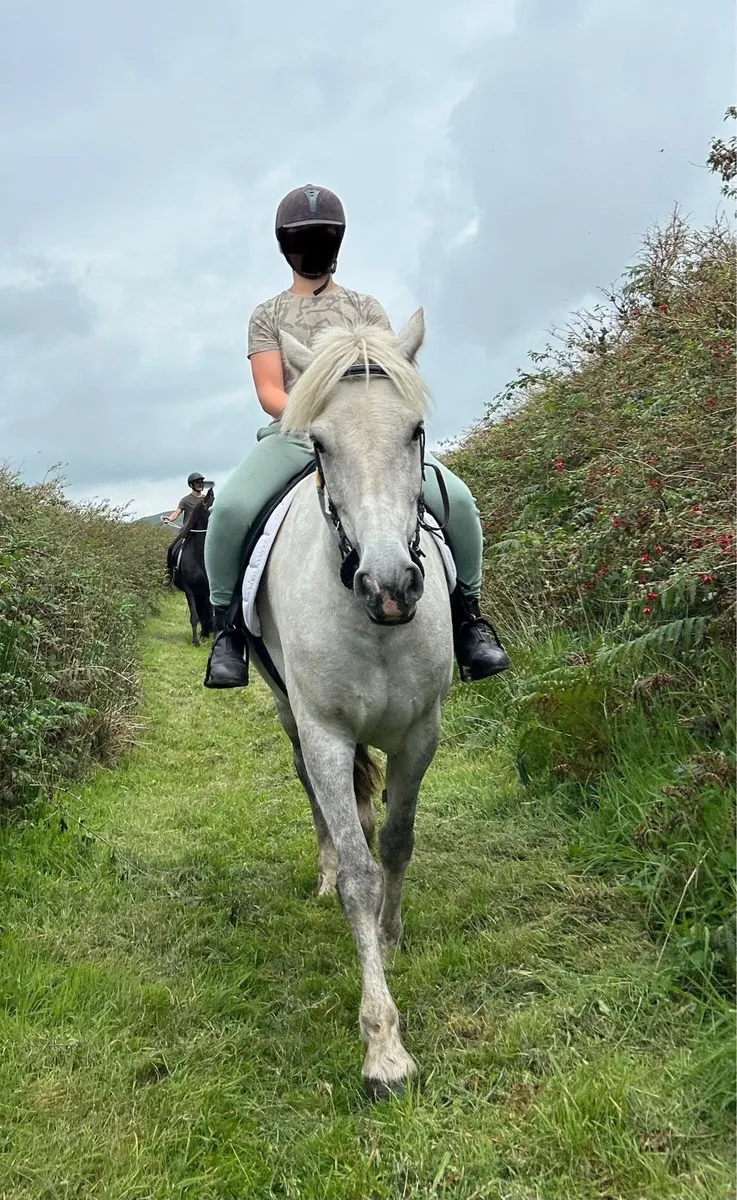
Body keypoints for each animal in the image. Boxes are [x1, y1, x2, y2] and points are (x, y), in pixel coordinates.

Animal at [168, 489, 215, 646]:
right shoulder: (189, 589)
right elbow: (195, 616)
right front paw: (196, 641)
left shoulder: (207, 589)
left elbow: (207, 613)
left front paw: (205, 635)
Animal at [251, 311, 453, 1098]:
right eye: (320, 443)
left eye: (415, 429)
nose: (390, 584)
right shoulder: (327, 735)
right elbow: (361, 877)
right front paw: (384, 1046)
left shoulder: (420, 732)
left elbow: (395, 841)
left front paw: (391, 940)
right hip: (293, 720)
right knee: (316, 799)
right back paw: (326, 864)